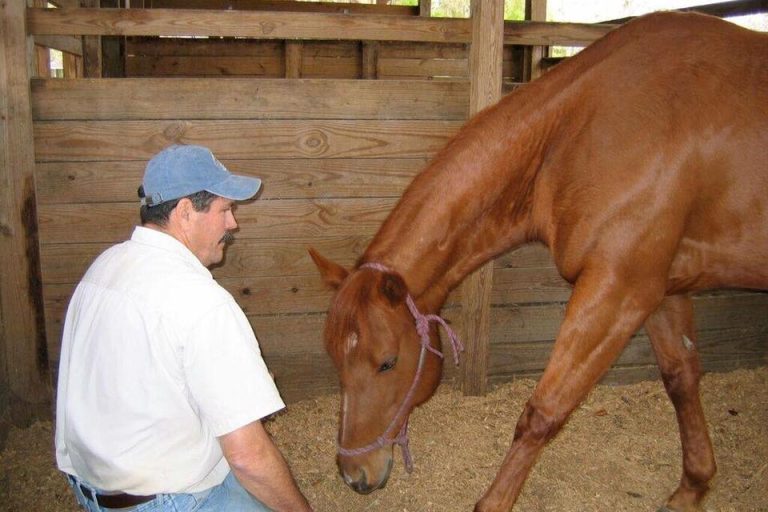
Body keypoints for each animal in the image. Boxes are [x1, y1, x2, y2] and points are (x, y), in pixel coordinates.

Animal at [309, 11, 768, 512]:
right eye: (335, 358)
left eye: (388, 363)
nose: (355, 475)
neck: (579, 132)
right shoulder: (663, 289)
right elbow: (681, 377)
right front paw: (693, 486)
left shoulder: (619, 290)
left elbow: (543, 413)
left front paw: (492, 503)